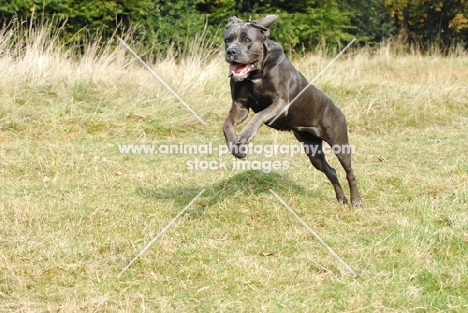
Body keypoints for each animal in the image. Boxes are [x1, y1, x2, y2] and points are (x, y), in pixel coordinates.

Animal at [221, 14, 364, 207]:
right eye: (227, 40)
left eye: (247, 40)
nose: (231, 52)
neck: (256, 74)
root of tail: (338, 109)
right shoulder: (240, 105)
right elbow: (227, 124)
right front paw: (235, 146)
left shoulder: (281, 103)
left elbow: (259, 115)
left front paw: (245, 136)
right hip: (312, 150)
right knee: (331, 171)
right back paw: (341, 199)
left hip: (339, 143)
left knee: (349, 172)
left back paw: (356, 200)